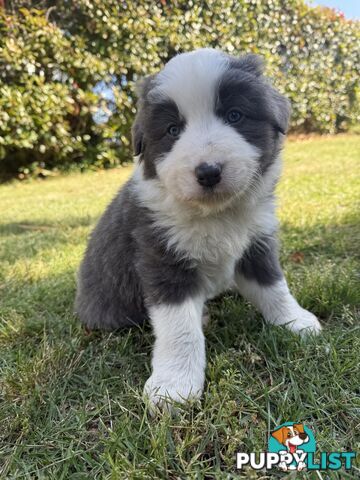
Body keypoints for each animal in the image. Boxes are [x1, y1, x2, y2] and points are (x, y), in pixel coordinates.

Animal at [75, 47, 320, 408]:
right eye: (173, 130)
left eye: (235, 115)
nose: (208, 171)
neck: (215, 214)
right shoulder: (162, 258)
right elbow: (180, 329)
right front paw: (174, 386)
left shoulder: (257, 243)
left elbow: (275, 286)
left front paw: (295, 321)